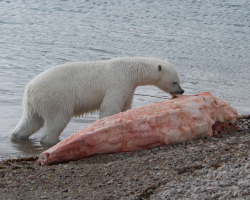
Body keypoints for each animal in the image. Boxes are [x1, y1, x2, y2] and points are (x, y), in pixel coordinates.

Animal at [10, 57, 184, 145]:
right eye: (174, 81)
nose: (181, 91)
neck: (131, 69)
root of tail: (29, 89)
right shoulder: (118, 81)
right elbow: (110, 107)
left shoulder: (128, 87)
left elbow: (125, 106)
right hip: (56, 98)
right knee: (57, 120)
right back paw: (53, 141)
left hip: (34, 104)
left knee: (30, 121)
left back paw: (17, 135)